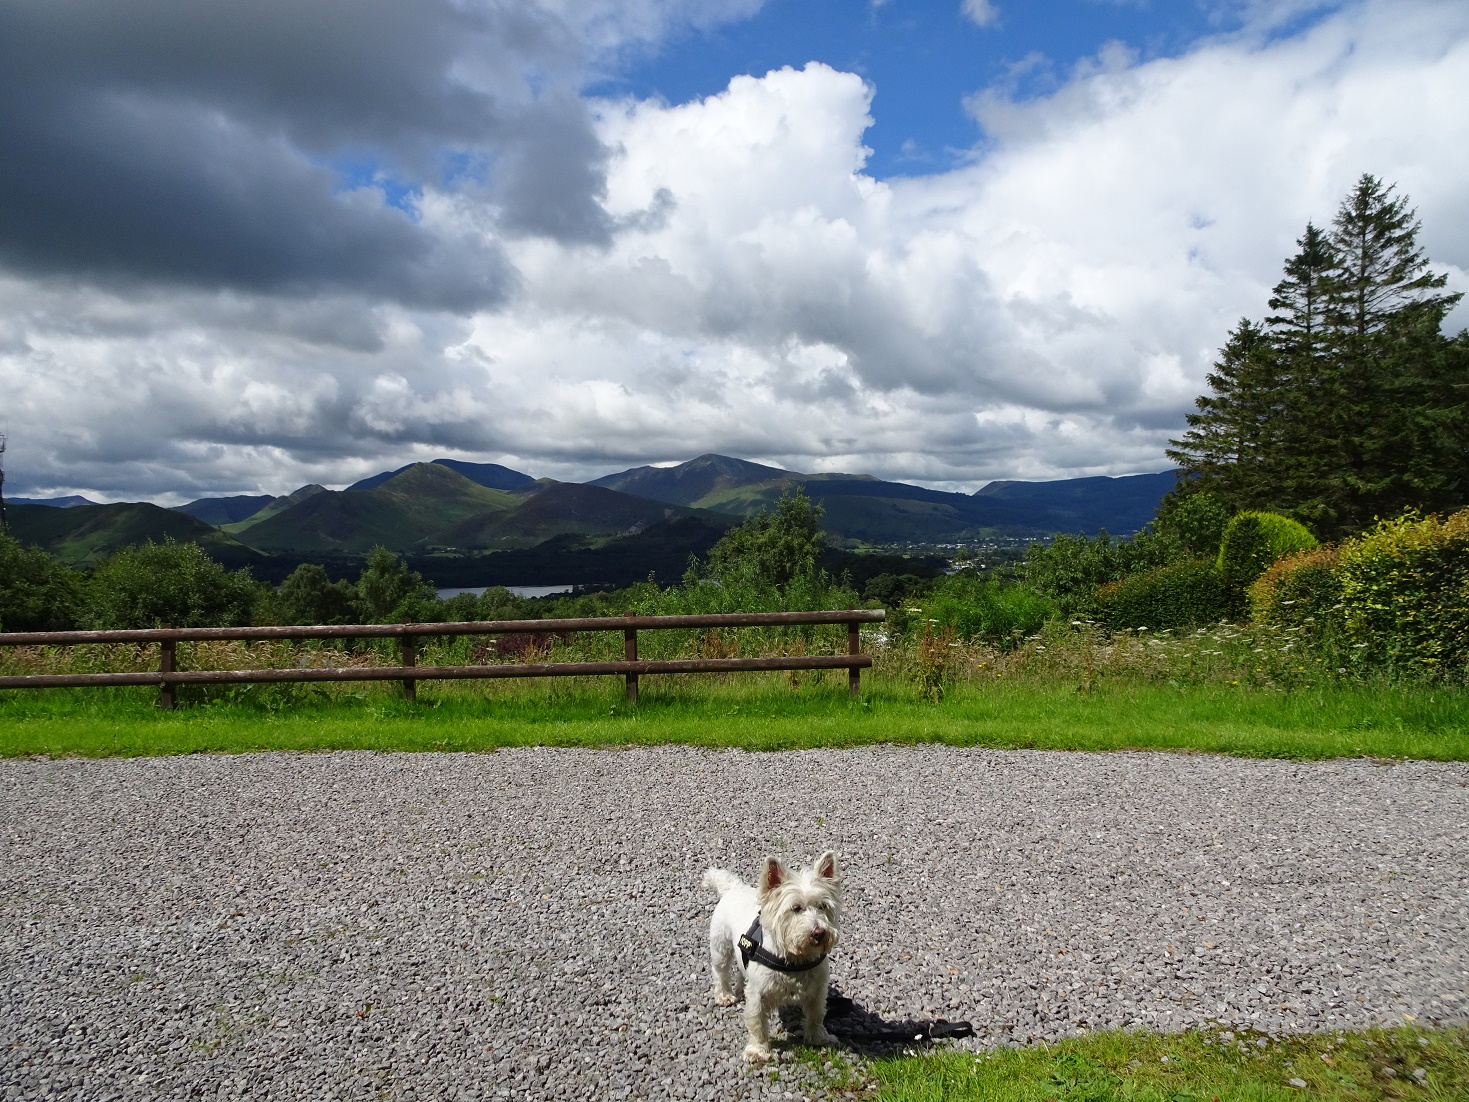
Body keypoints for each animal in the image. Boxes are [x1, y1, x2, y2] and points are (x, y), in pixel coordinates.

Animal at [705, 852, 846, 1063]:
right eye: (795, 908)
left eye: (823, 906)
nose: (819, 933)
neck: (796, 959)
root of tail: (734, 887)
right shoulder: (758, 994)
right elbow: (757, 1021)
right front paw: (757, 1050)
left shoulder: (818, 989)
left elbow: (816, 1014)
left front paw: (819, 1037)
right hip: (721, 945)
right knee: (721, 972)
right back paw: (725, 995)